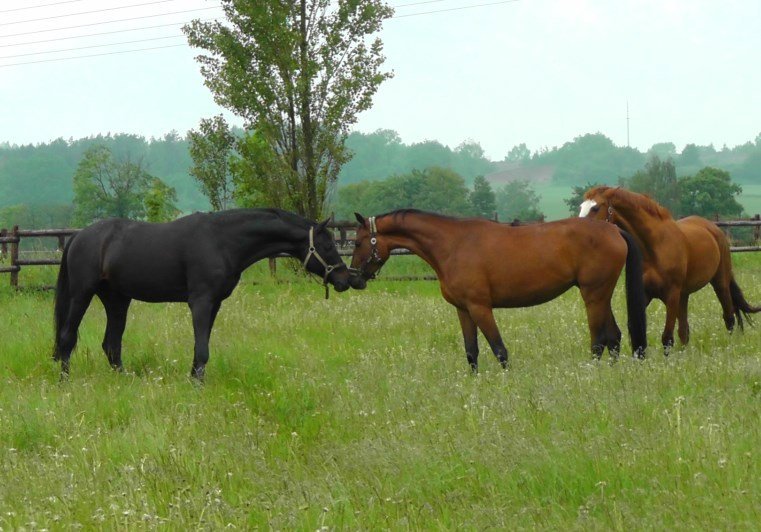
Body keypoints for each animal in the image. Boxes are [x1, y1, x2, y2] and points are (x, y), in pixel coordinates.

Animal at [53, 208, 354, 378]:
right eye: (327, 246)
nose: (345, 279)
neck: (221, 240)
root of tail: (78, 236)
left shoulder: (215, 304)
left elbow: (203, 347)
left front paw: (195, 380)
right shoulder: (200, 302)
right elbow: (202, 348)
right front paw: (196, 384)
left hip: (117, 300)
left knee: (111, 345)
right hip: (82, 295)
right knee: (67, 338)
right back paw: (65, 382)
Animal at [348, 208, 644, 370]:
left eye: (358, 242)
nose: (353, 279)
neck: (453, 244)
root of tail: (614, 230)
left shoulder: (480, 308)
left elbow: (499, 349)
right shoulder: (463, 310)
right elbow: (471, 352)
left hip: (593, 295)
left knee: (599, 340)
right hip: (601, 296)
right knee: (614, 337)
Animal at [580, 185, 756, 352]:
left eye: (595, 208)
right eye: (582, 206)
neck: (655, 246)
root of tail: (713, 229)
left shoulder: (671, 295)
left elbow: (667, 337)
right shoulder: (646, 294)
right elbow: (636, 326)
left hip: (719, 283)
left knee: (729, 317)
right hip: (684, 295)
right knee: (684, 330)